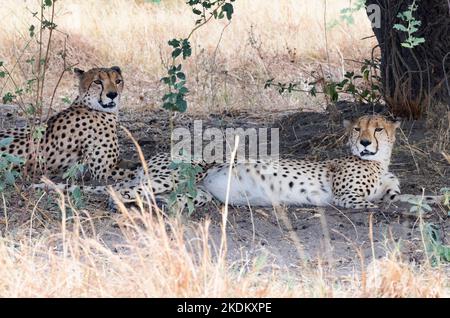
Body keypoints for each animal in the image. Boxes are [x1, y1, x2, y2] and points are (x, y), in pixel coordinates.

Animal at [0, 66, 136, 181]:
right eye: (97, 82)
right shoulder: (102, 171)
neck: (90, 106)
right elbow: (136, 175)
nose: (113, 94)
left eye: (118, 81)